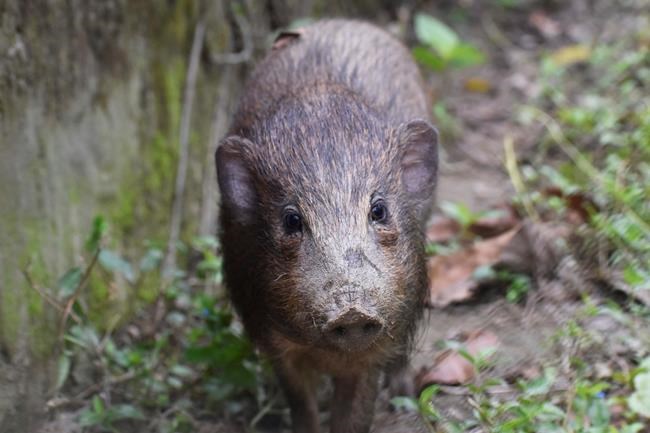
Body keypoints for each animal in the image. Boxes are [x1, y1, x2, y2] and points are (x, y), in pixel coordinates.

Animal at [215, 19, 437, 433]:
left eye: (379, 210)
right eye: (292, 220)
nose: (352, 310)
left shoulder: (381, 339)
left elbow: (355, 412)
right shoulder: (272, 339)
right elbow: (301, 404)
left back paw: (403, 396)